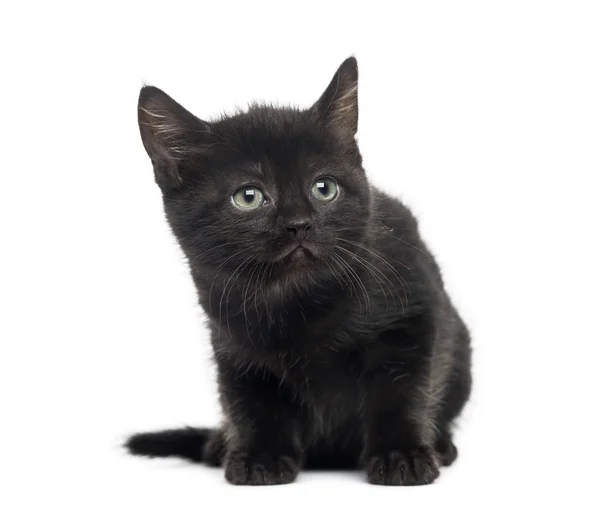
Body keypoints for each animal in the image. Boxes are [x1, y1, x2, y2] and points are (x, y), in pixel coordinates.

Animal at [127, 57, 474, 486]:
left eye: (323, 188)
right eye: (248, 197)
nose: (299, 224)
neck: (295, 299)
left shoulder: (413, 314)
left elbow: (403, 390)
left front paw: (402, 454)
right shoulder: (232, 345)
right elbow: (251, 402)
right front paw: (261, 456)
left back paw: (441, 445)